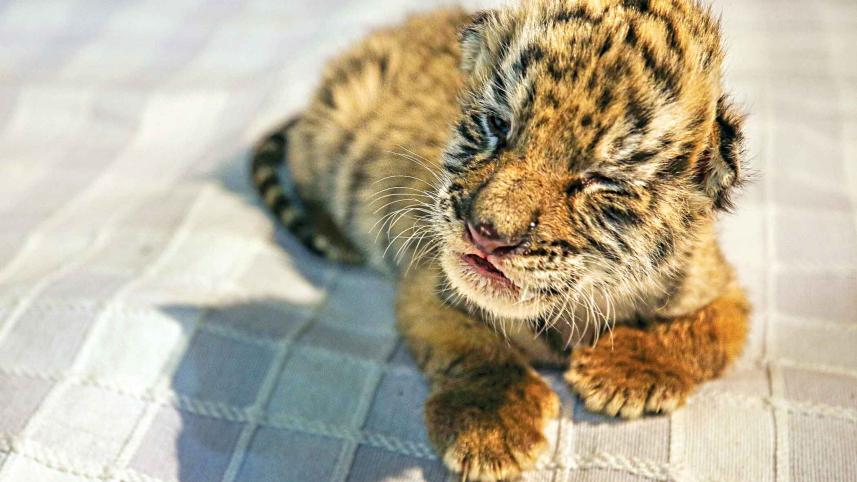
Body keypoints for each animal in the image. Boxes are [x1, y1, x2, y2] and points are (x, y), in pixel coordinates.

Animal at [250, 0, 749, 480]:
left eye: (602, 179)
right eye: (497, 125)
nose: (486, 233)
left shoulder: (720, 284)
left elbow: (704, 330)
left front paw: (627, 370)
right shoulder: (428, 282)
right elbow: (471, 347)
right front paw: (492, 425)